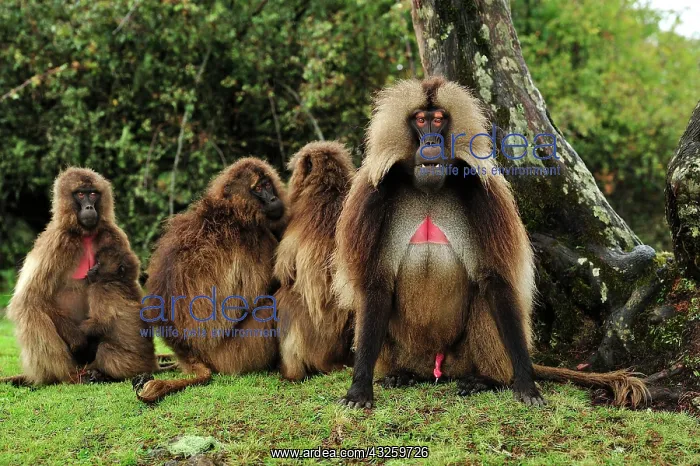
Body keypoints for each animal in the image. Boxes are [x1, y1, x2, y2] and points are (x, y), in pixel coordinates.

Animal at [4, 167, 140, 386]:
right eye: (81, 194)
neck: (84, 234)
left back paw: (100, 373)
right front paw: (78, 339)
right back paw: (68, 376)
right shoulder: (56, 241)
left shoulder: (114, 234)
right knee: (31, 311)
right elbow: (31, 297)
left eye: (93, 193)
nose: (89, 207)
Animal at [79, 246, 158, 381]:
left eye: (98, 263)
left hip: (131, 364)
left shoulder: (100, 289)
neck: (120, 282)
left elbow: (100, 323)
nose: (90, 269)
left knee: (104, 349)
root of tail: (151, 364)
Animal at [135, 157, 288, 403]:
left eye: (267, 184)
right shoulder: (256, 237)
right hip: (233, 355)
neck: (232, 209)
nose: (273, 199)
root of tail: (188, 351)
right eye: (258, 189)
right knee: (268, 306)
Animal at [334, 77, 649, 409]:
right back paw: (401, 374)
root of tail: (435, 366)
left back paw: (486, 379)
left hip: (463, 358)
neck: (428, 190)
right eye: (420, 120)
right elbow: (377, 284)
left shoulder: (483, 194)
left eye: (439, 119)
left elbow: (496, 280)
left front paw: (525, 383)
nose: (431, 142)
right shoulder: (373, 195)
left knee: (485, 299)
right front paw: (359, 388)